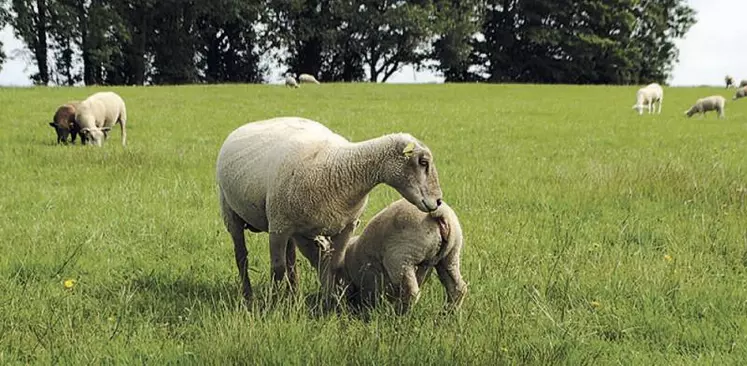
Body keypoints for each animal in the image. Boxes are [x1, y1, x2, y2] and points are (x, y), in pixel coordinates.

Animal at [213, 116, 442, 304]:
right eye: (423, 162)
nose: (439, 201)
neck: (339, 168)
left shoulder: (346, 226)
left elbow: (334, 266)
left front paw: (331, 303)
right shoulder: (278, 227)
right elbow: (277, 269)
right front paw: (275, 306)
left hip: (290, 226)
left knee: (291, 260)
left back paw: (294, 295)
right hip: (232, 212)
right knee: (242, 257)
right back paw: (249, 295)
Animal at [340, 199, 468, 314]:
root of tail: (441, 213)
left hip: (401, 259)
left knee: (411, 293)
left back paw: (398, 316)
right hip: (450, 256)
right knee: (457, 288)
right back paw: (447, 314)